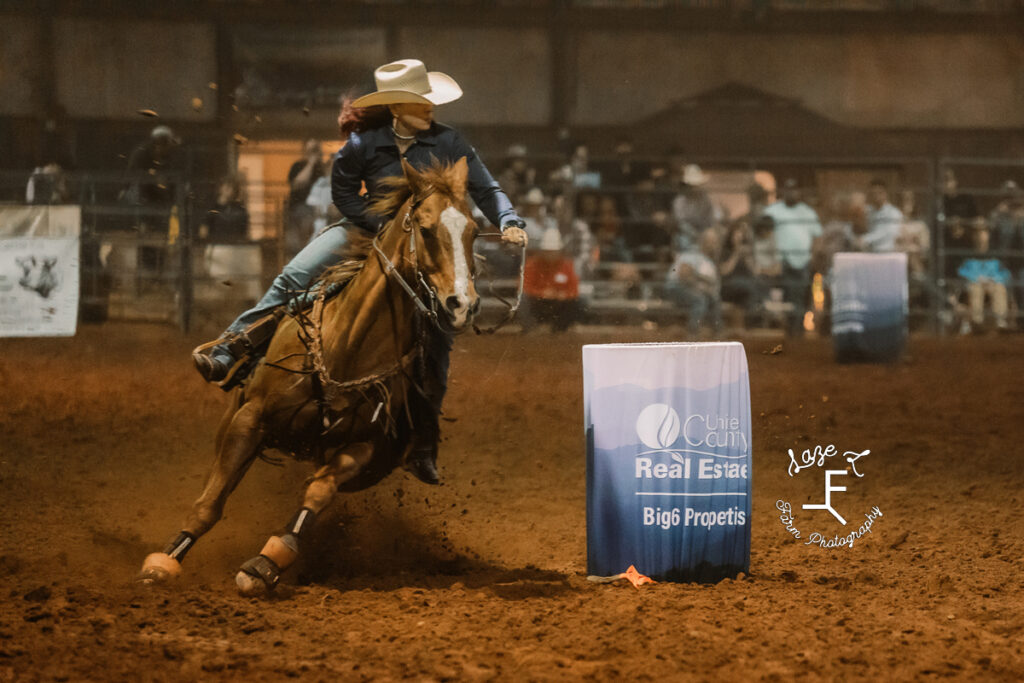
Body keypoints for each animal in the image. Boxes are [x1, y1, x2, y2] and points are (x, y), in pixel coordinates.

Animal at [137, 157, 483, 593]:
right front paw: (165, 560)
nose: (463, 304)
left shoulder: (363, 447)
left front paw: (267, 562)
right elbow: (210, 503)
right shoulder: (249, 419)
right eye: (425, 228)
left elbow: (318, 490)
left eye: (473, 230)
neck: (344, 349)